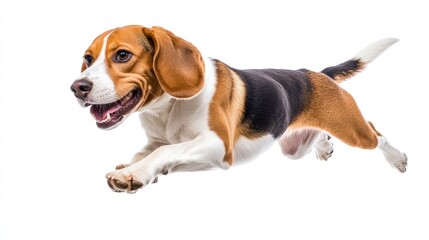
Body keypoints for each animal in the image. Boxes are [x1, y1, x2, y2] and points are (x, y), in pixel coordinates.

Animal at [69, 24, 404, 193]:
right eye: (88, 58)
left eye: (122, 55)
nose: (77, 87)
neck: (169, 108)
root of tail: (316, 74)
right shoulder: (171, 145)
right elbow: (150, 151)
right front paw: (135, 168)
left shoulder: (218, 146)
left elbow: (165, 151)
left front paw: (135, 173)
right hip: (294, 147)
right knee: (317, 135)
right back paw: (324, 146)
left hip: (353, 129)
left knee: (376, 134)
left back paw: (397, 158)